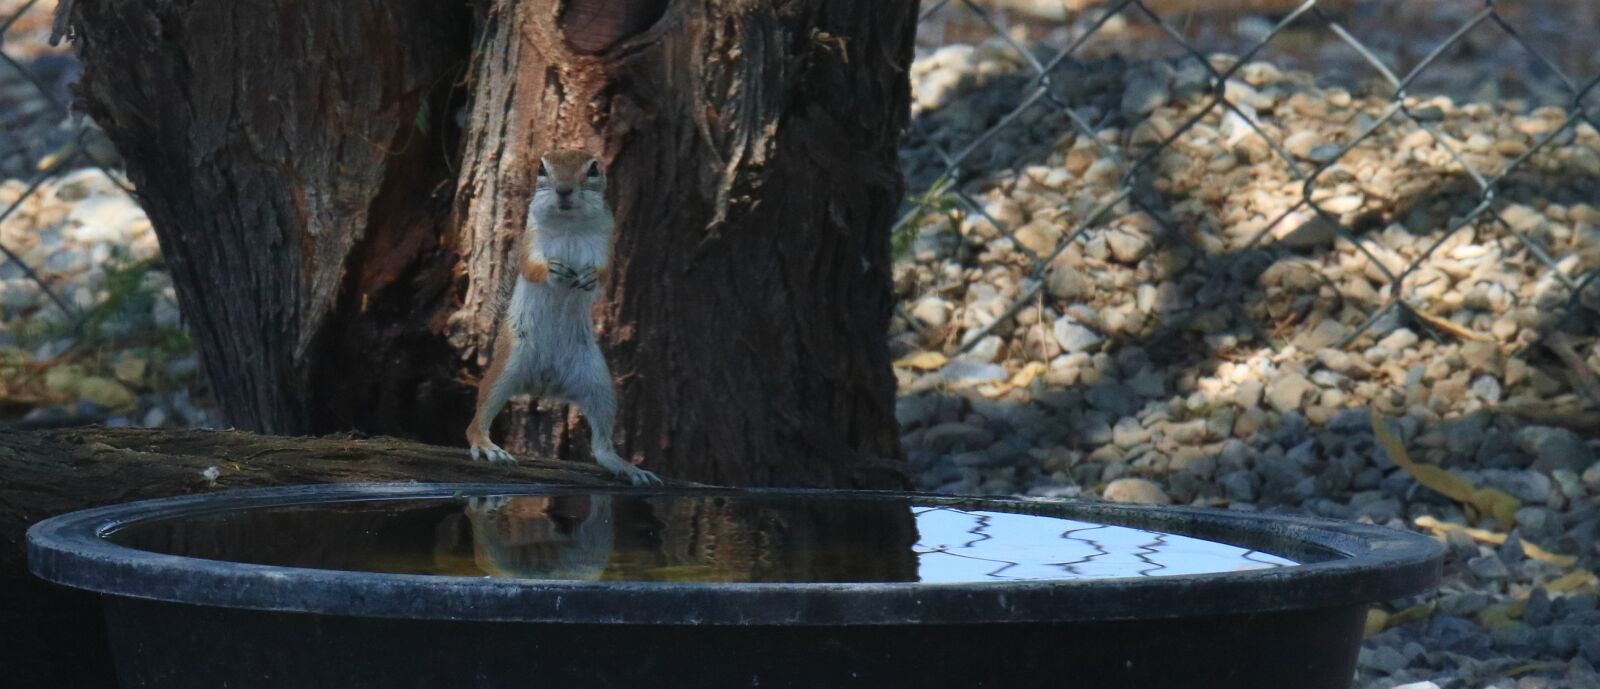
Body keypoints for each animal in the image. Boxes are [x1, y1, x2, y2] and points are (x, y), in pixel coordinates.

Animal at [466, 148, 662, 486]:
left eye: (594, 169)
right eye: (541, 169)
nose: (564, 190)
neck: (570, 225)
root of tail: (543, 385)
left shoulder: (606, 241)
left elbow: (605, 273)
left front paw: (589, 276)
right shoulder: (531, 241)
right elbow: (531, 267)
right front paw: (553, 271)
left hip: (598, 382)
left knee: (601, 445)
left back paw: (626, 466)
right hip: (507, 364)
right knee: (477, 419)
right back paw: (488, 446)